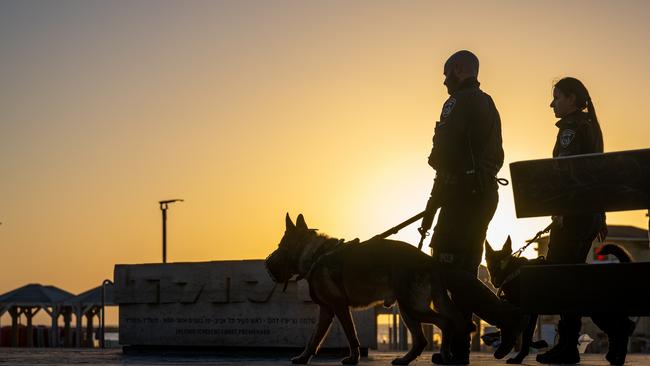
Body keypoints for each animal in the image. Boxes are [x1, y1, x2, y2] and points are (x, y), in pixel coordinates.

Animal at [264, 213, 466, 364]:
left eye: (280, 246)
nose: (267, 264)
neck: (315, 254)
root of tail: (430, 261)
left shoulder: (339, 307)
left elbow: (351, 335)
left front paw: (353, 358)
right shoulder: (327, 311)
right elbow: (314, 338)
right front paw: (304, 357)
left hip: (412, 307)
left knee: (445, 322)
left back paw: (446, 354)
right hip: (407, 309)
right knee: (421, 340)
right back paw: (404, 360)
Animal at [480, 237, 628, 364]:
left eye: (503, 263)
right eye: (490, 263)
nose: (495, 281)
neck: (514, 271)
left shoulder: (530, 313)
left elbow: (526, 337)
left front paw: (519, 358)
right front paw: (537, 344)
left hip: (598, 313)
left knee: (621, 330)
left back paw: (618, 358)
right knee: (614, 332)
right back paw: (612, 357)